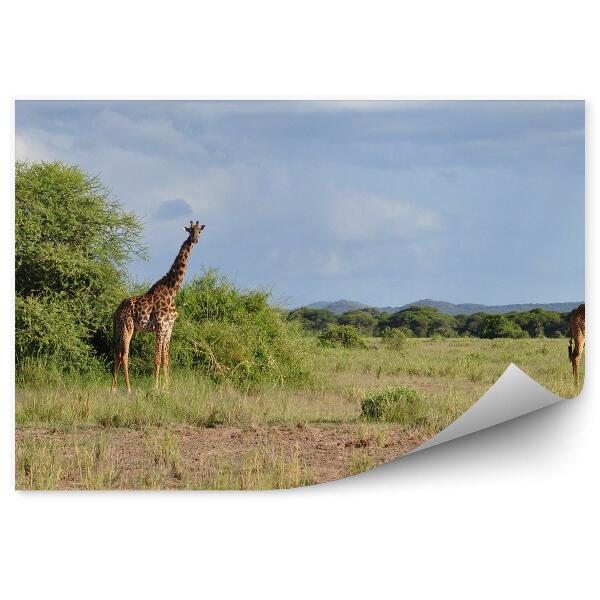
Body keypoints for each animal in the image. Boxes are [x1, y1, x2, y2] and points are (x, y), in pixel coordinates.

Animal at [112, 220, 206, 394]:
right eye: (190, 231)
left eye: (199, 231)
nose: (195, 240)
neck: (172, 291)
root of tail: (116, 312)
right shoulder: (160, 326)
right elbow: (156, 359)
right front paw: (155, 387)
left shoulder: (169, 328)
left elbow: (165, 359)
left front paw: (166, 388)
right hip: (127, 327)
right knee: (124, 354)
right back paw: (128, 389)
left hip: (126, 329)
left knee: (117, 353)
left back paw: (113, 389)